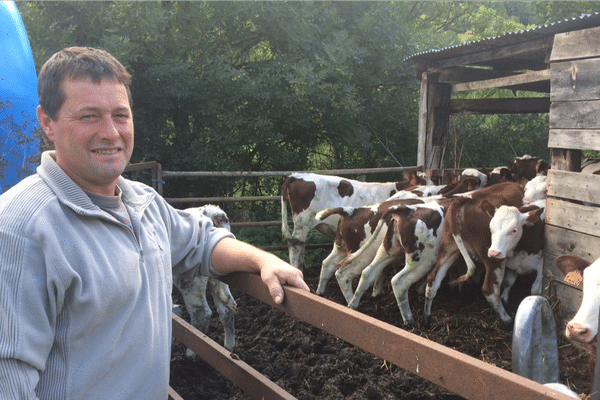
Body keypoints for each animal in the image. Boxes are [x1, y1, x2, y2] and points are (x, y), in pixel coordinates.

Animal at [422, 183, 524, 330]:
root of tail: (466, 199)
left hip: (448, 249)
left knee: (433, 280)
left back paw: (426, 319)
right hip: (494, 258)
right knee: (489, 290)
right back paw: (507, 320)